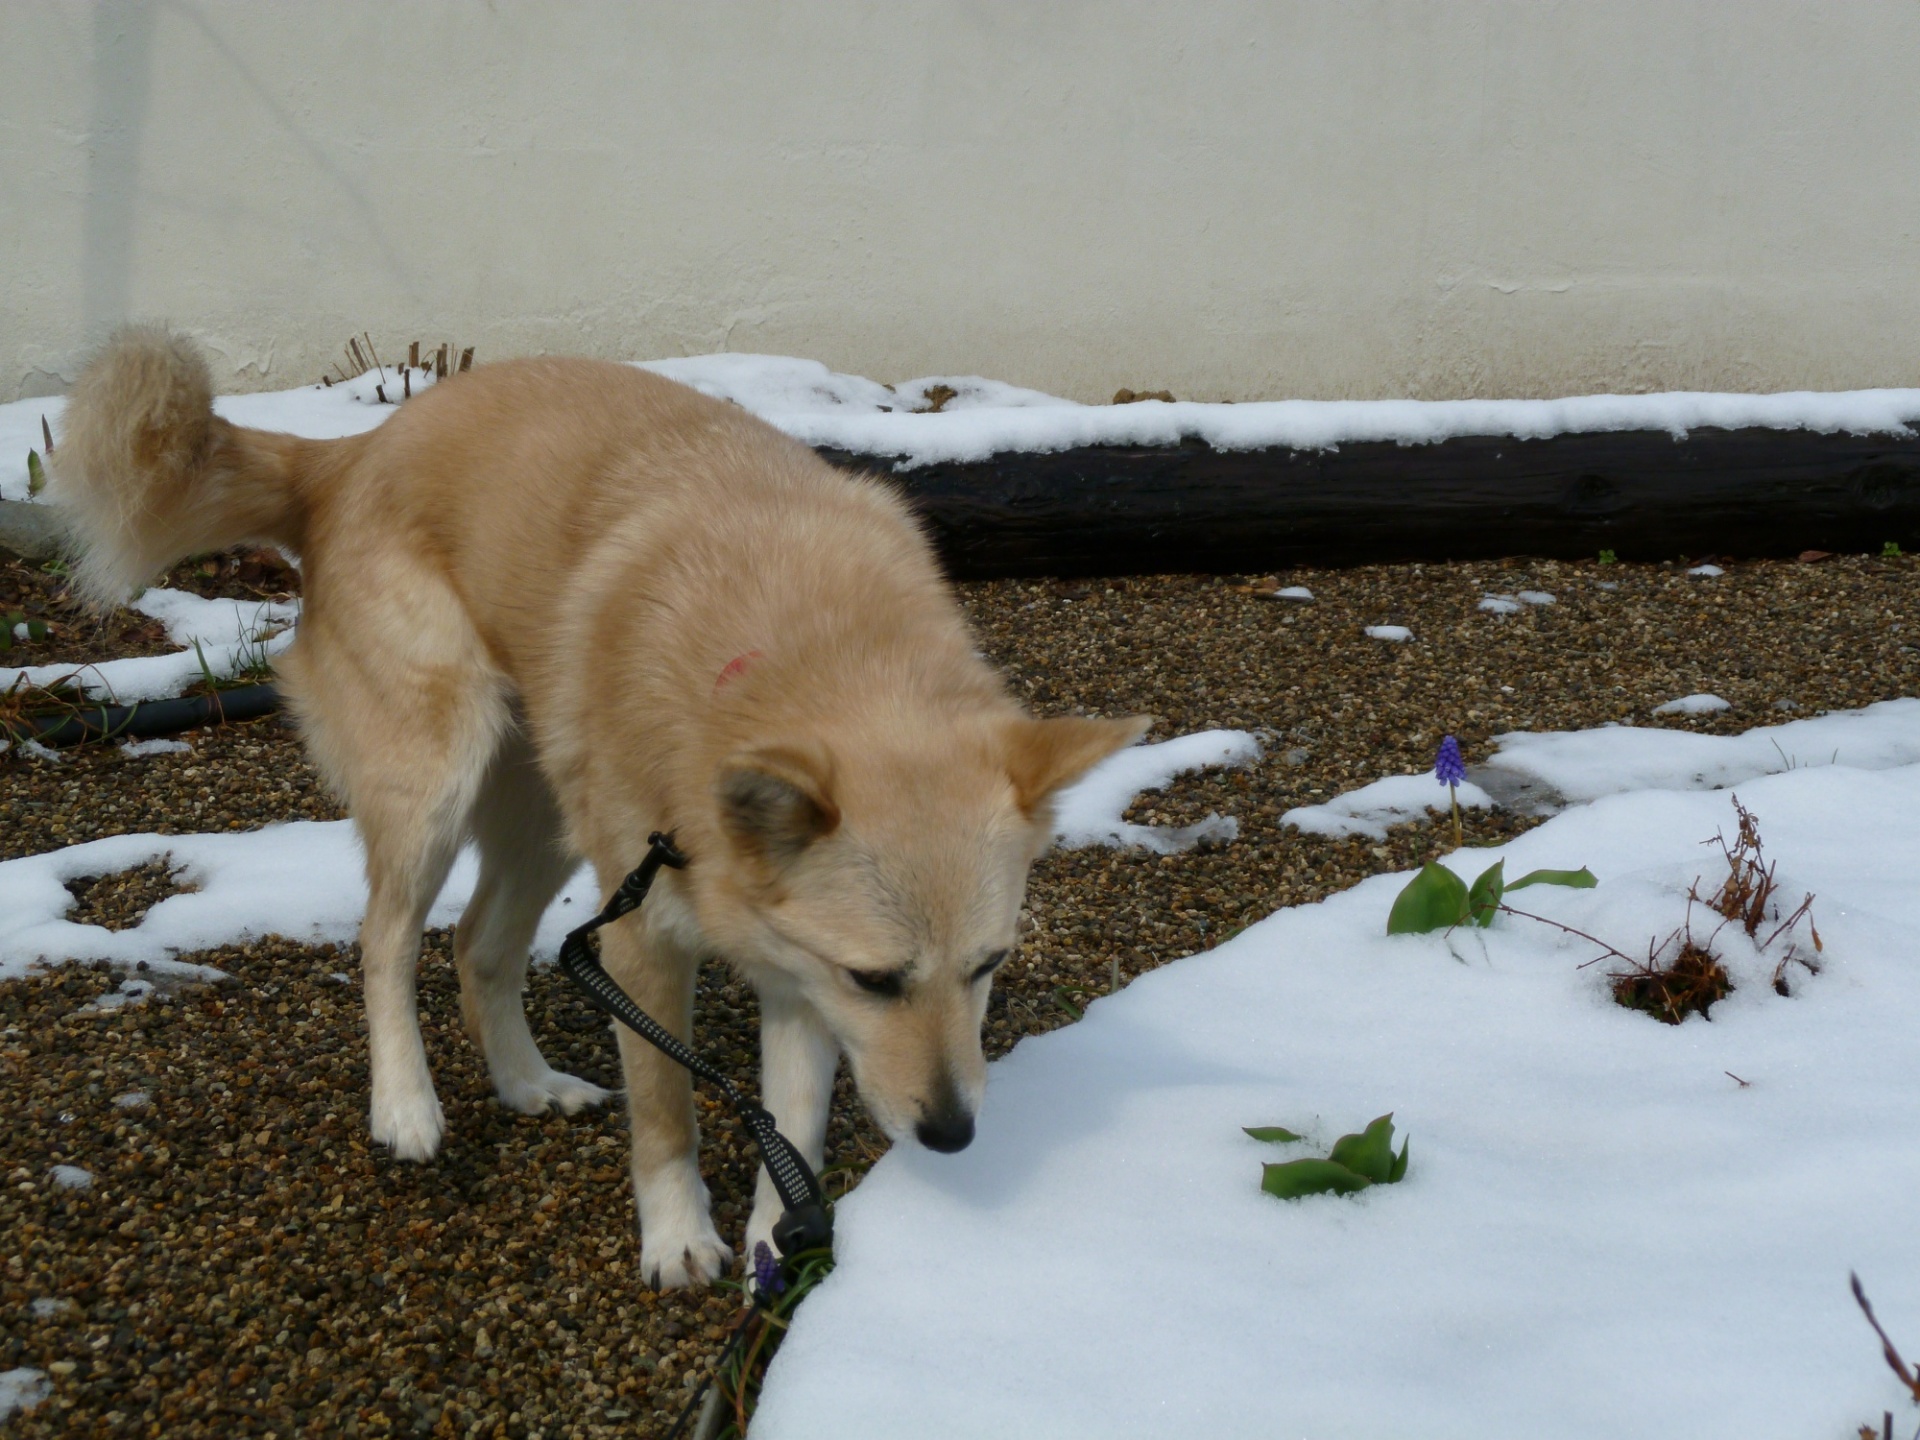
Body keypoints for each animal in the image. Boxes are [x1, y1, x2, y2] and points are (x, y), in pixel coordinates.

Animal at [52, 332, 1144, 1290]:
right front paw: (679, 1238)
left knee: (478, 945)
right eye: (876, 981)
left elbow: (790, 1120)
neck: (810, 647)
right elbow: (668, 1114)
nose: (953, 1136)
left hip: (545, 817)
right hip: (438, 782)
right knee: (387, 940)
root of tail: (348, 454)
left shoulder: (792, 969)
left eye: (989, 966)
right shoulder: (649, 940)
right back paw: (405, 1104)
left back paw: (526, 1082)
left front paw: (776, 1244)